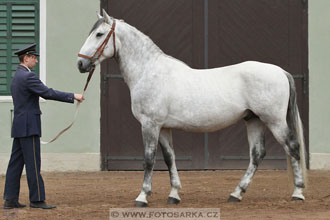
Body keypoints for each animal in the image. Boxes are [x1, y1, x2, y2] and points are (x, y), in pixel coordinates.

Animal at [76, 9, 306, 206]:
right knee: (257, 155)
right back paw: (236, 194)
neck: (150, 72)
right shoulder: (163, 127)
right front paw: (174, 195)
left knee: (292, 147)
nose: (80, 64)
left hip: (274, 120)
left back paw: (298, 193)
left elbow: (149, 160)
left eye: (99, 34)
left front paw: (142, 197)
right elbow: (169, 158)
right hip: (254, 120)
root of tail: (280, 71)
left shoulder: (150, 125)